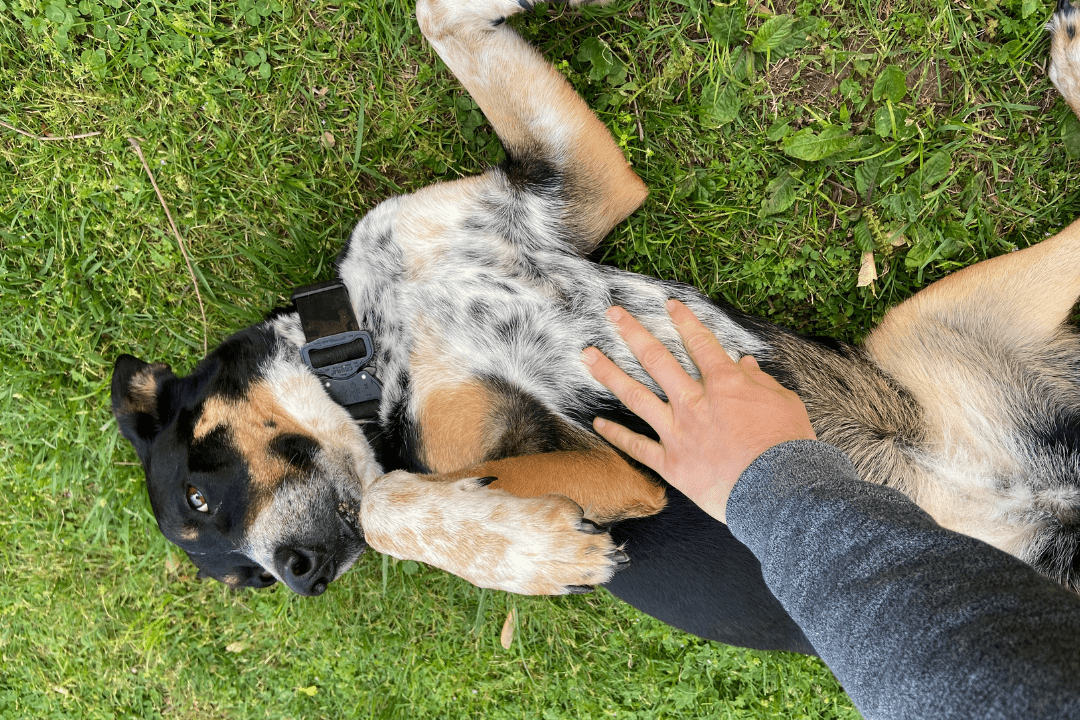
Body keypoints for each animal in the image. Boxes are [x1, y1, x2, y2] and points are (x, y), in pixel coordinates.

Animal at [109, 0, 1080, 656]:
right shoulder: (621, 473)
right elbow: (387, 503)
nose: (302, 576)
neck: (368, 342)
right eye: (243, 580)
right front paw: (536, 555)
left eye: (199, 496)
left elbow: (440, 19)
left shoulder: (571, 184)